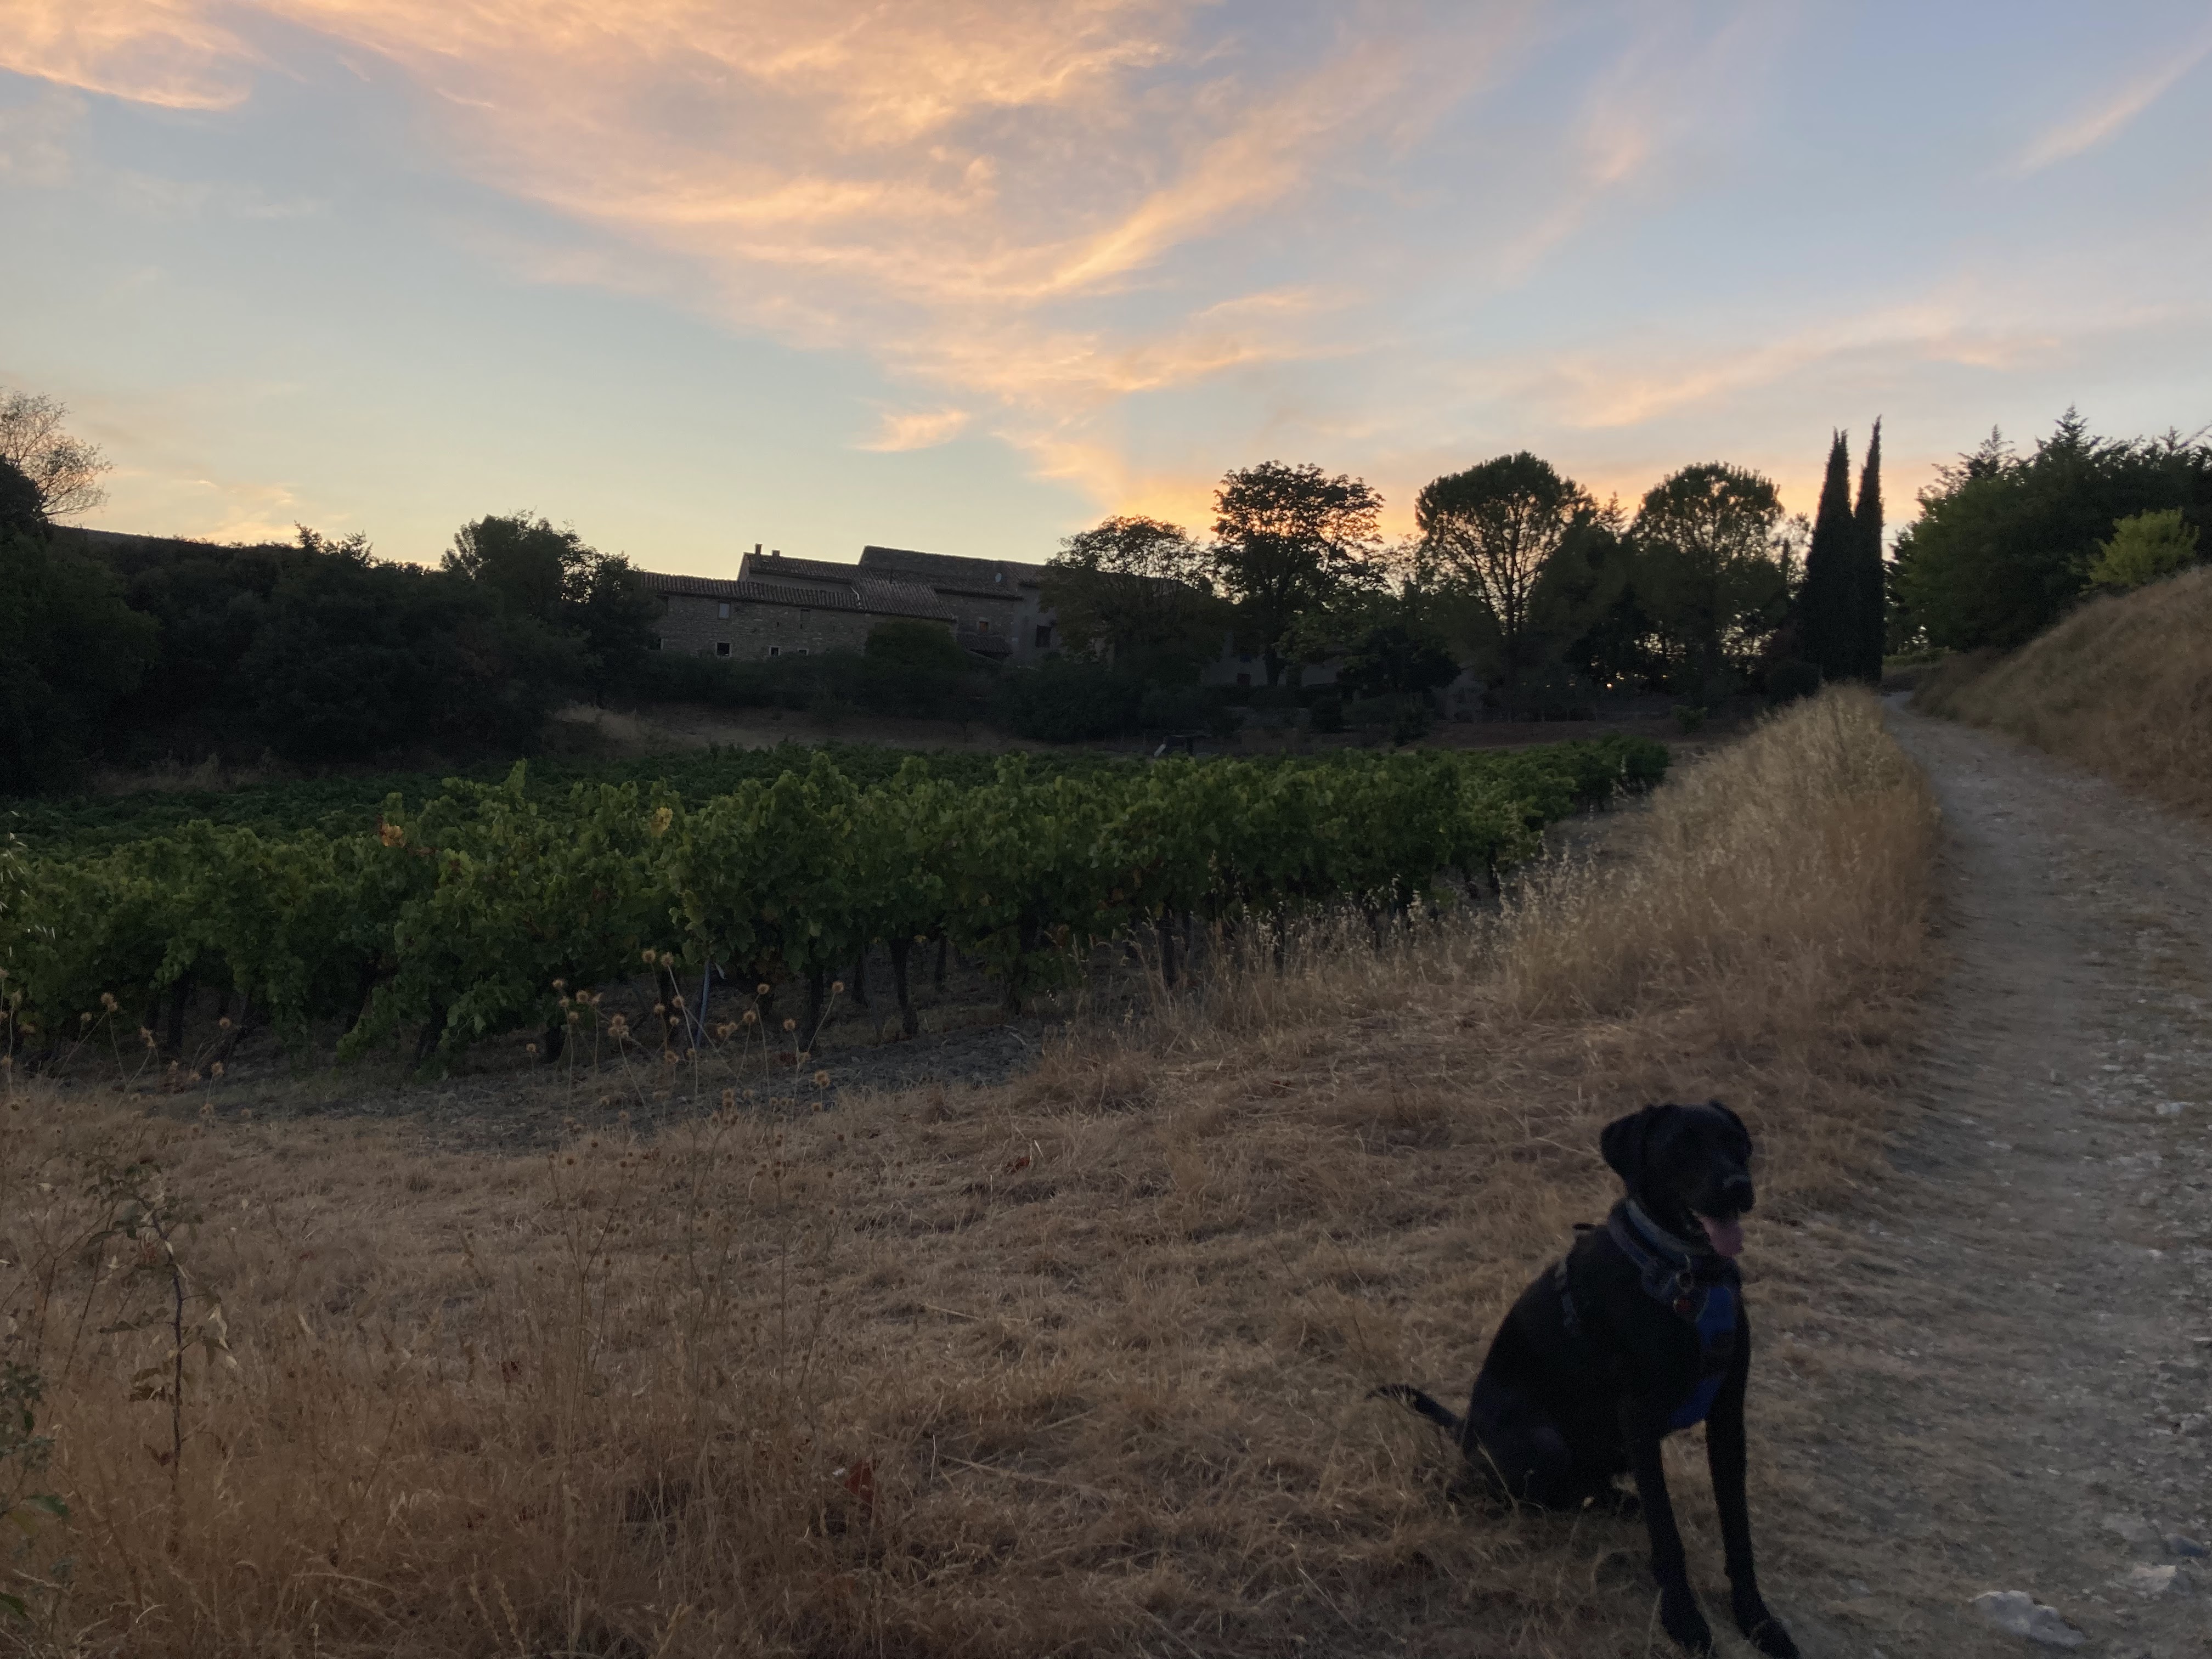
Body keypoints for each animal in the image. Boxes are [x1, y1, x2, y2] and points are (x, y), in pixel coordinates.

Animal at [1376, 1101, 1798, 1658]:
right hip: (1544, 1443)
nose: (1738, 1186)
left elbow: (1738, 1528)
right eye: (1682, 1145)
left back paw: (1617, 1500)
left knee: (1591, 1485)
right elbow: (1668, 1533)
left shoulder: (1728, 1415)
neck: (1683, 1272)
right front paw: (1683, 1618)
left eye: (1736, 1142)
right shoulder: (1638, 1417)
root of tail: (1464, 1427)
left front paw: (1757, 1619)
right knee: (1520, 1490)